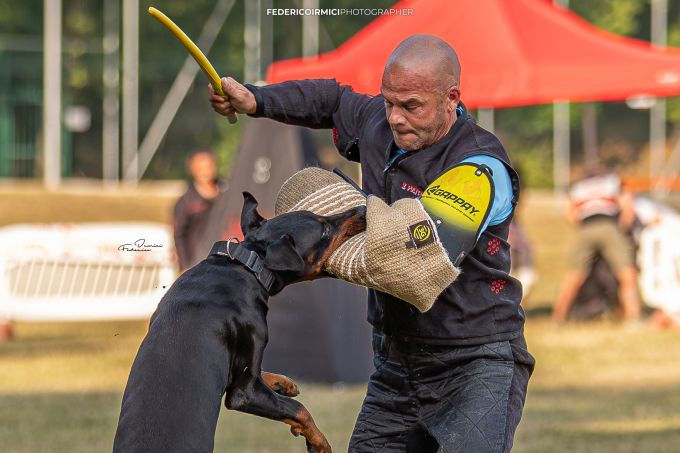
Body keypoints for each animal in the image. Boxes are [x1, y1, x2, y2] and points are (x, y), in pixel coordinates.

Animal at [113, 192, 366, 453]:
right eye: (324, 229)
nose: (362, 210)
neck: (247, 266)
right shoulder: (246, 391)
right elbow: (299, 409)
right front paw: (319, 443)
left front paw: (282, 383)